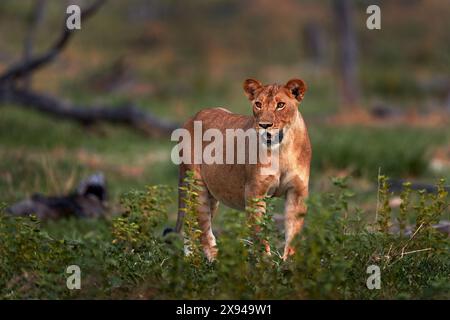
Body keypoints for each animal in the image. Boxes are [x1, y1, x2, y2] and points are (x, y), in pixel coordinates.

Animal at [174, 79, 312, 262]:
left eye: (281, 105)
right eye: (258, 104)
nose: (264, 125)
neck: (282, 149)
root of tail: (191, 118)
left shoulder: (297, 192)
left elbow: (293, 232)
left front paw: (289, 263)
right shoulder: (254, 192)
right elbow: (259, 234)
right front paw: (265, 264)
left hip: (212, 195)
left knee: (191, 224)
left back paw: (190, 260)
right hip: (197, 186)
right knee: (204, 230)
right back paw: (213, 261)